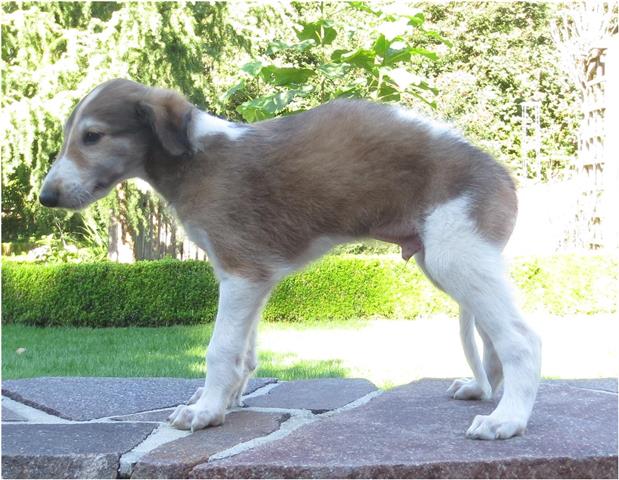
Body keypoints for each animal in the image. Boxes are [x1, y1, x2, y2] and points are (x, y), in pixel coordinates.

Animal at [39, 78, 541, 439]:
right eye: (69, 136)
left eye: (93, 136)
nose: (46, 197)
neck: (196, 160)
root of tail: (504, 176)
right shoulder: (250, 278)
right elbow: (245, 354)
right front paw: (223, 402)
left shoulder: (242, 271)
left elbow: (220, 349)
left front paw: (205, 412)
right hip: (448, 261)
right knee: (492, 339)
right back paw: (483, 391)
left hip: (455, 257)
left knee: (522, 340)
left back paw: (508, 419)